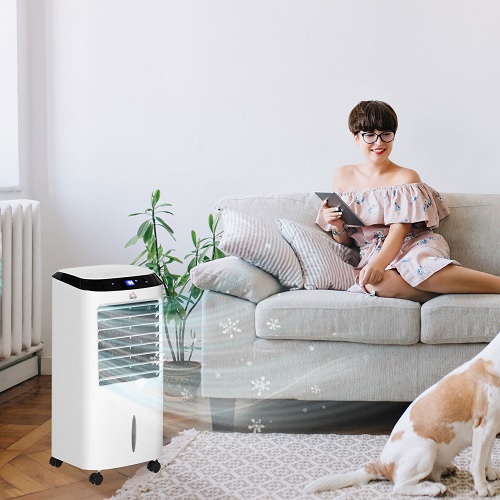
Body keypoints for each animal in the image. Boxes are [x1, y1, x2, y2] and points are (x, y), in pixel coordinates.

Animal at [302, 332, 500, 496]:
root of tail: (382, 464)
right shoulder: (483, 428)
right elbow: (477, 463)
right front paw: (483, 487)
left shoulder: (490, 431)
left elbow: (487, 458)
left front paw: (490, 474)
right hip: (426, 448)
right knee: (400, 487)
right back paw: (434, 489)